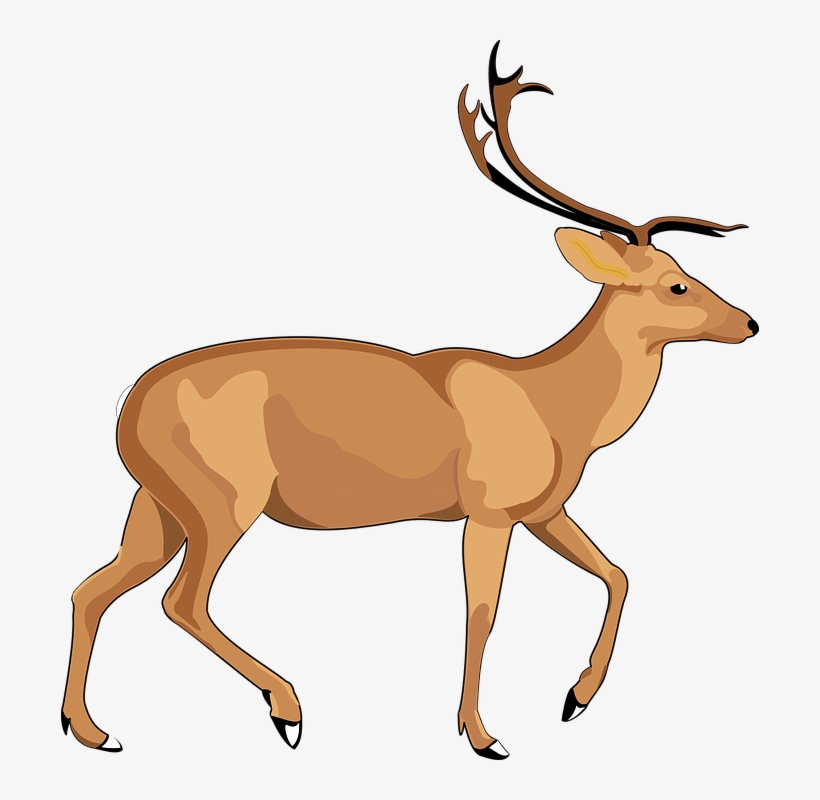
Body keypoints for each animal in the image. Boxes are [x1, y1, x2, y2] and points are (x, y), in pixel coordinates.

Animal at [61, 42, 757, 761]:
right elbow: (484, 612)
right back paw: (288, 710)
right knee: (181, 601)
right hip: (222, 501)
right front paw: (483, 737)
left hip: (158, 505)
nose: (749, 323)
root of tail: (127, 410)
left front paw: (574, 700)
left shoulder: (543, 511)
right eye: (677, 285)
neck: (555, 406)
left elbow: (617, 572)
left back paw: (92, 730)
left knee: (92, 588)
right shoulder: (489, 511)